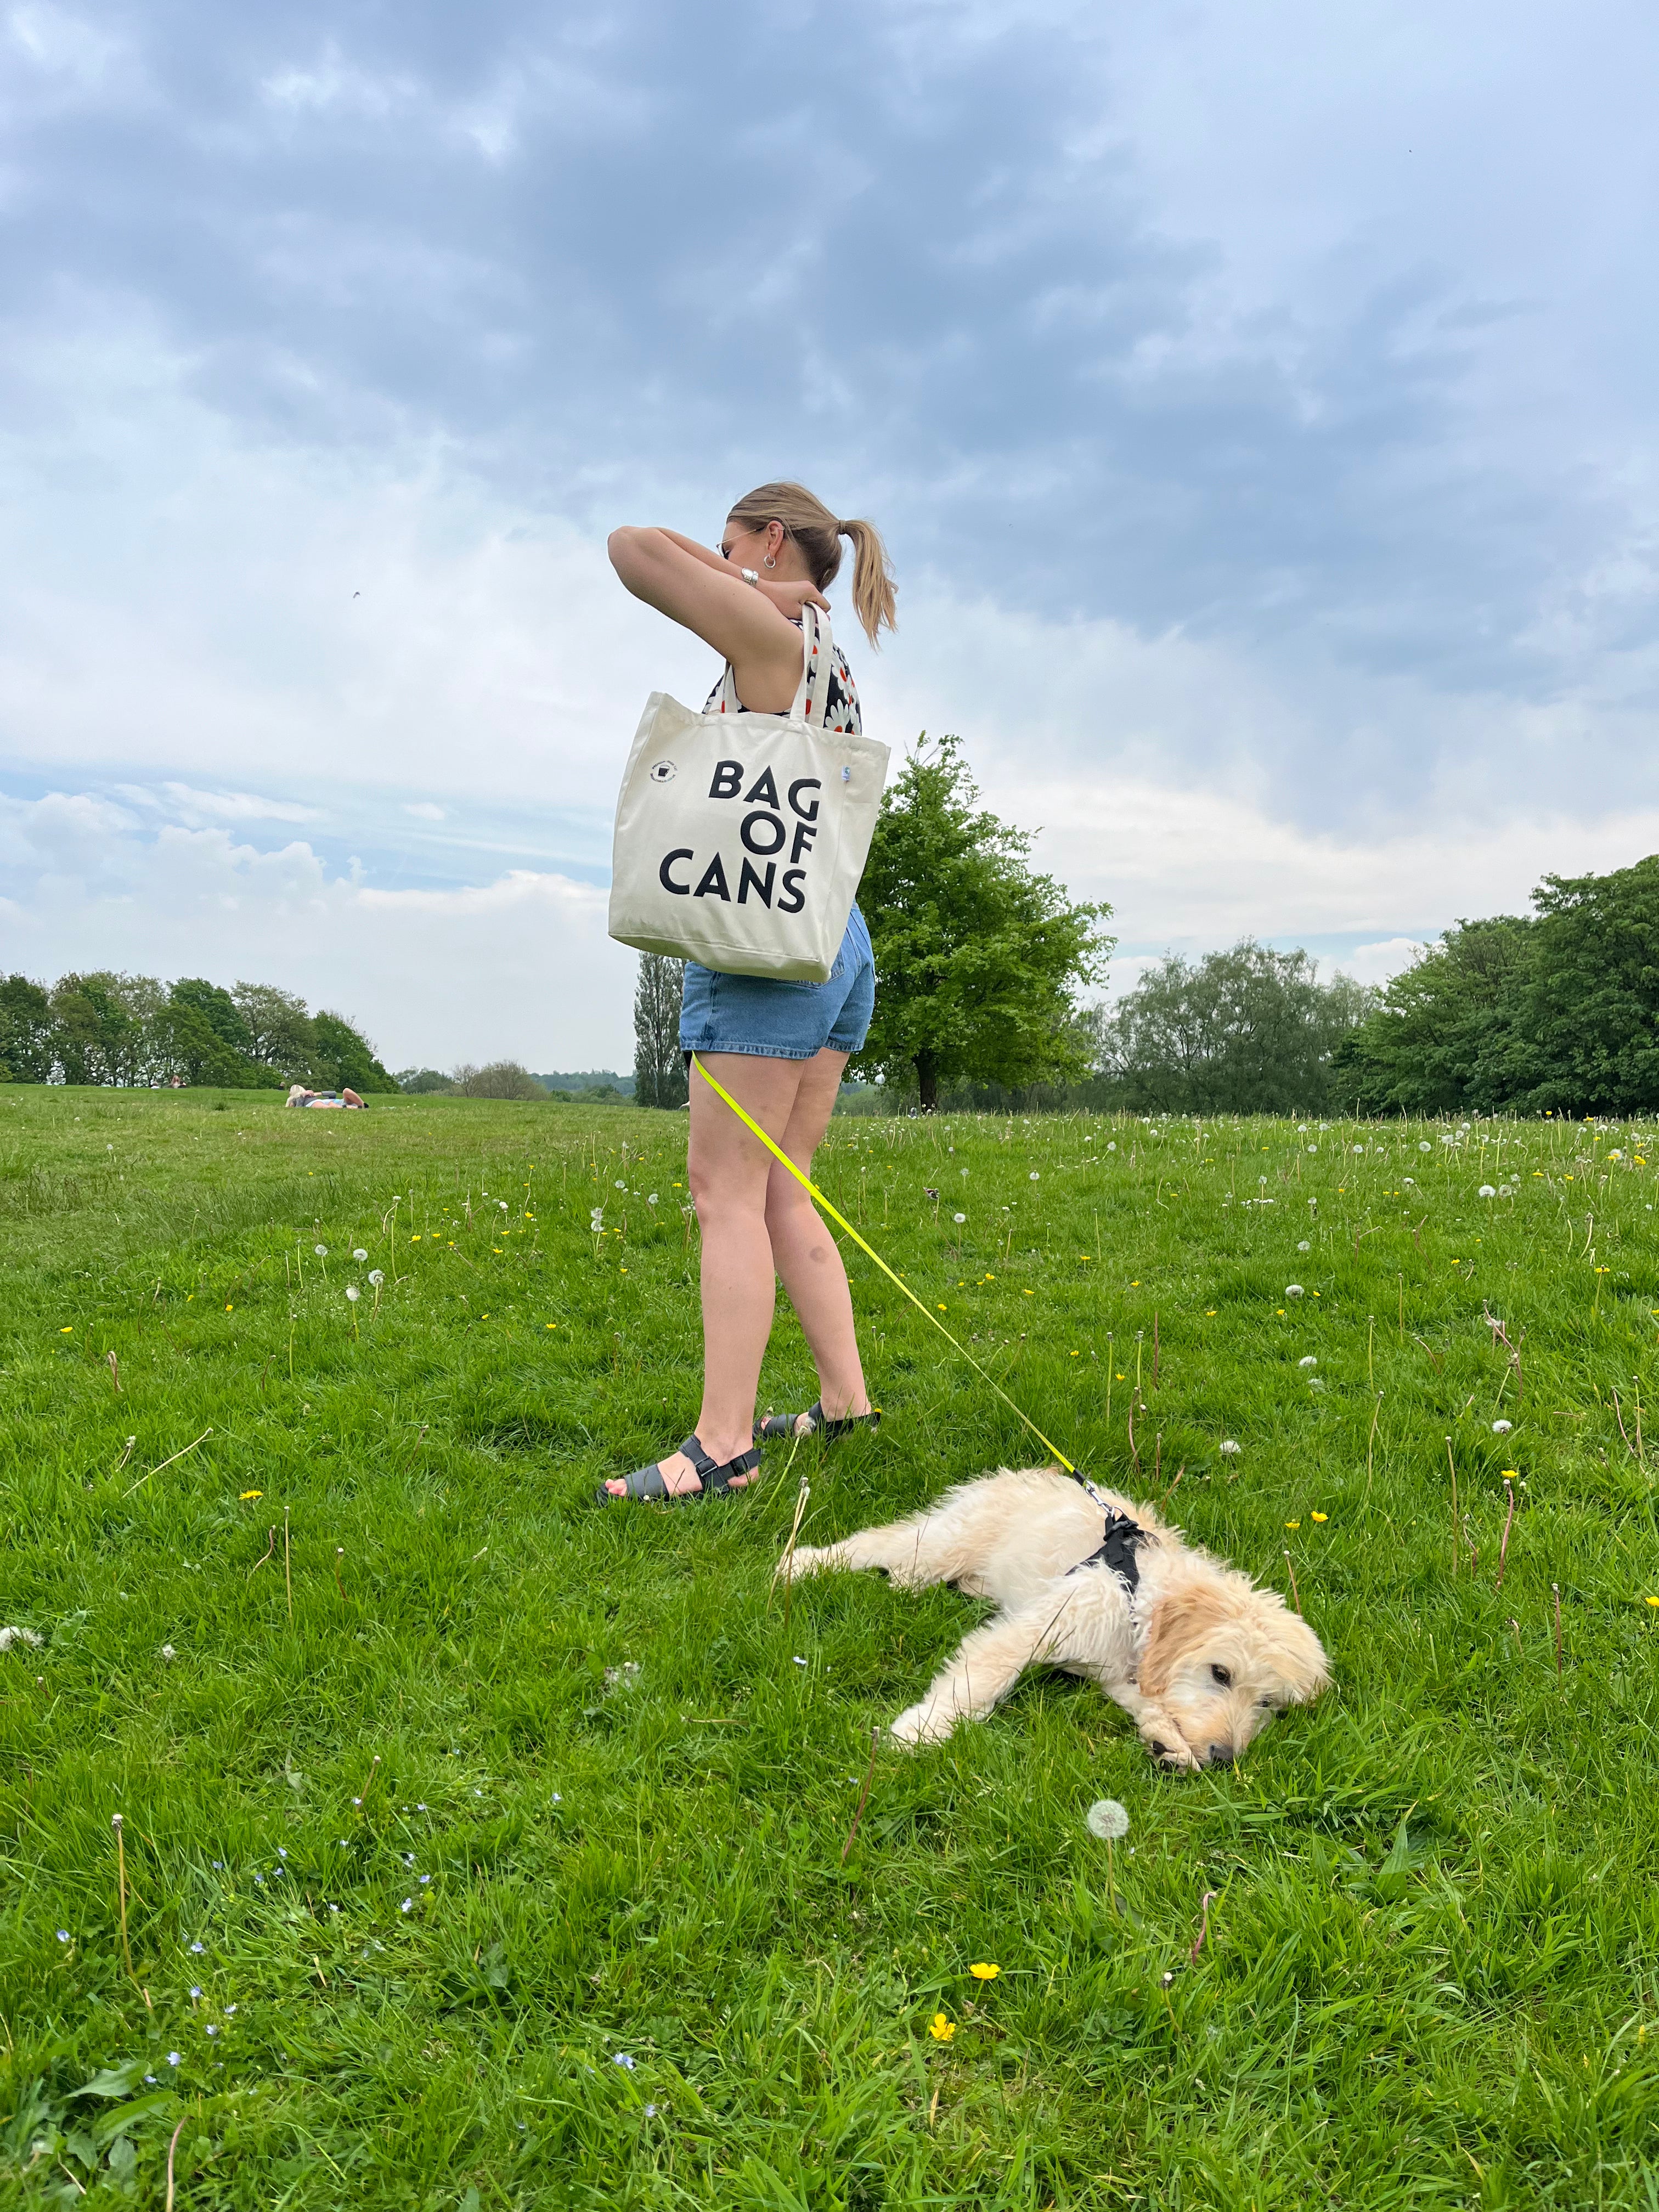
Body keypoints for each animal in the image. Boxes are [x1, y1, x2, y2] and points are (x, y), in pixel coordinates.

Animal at [792, 1469, 1336, 1760]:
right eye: (1220, 1673)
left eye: (1270, 1704)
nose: (1225, 1758)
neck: (1140, 1599)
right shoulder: (1037, 1629)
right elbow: (981, 1681)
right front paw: (917, 1735)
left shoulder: (1119, 1674)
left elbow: (1147, 1702)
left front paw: (1169, 1744)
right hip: (948, 1544)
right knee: (881, 1542)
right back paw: (799, 1565)